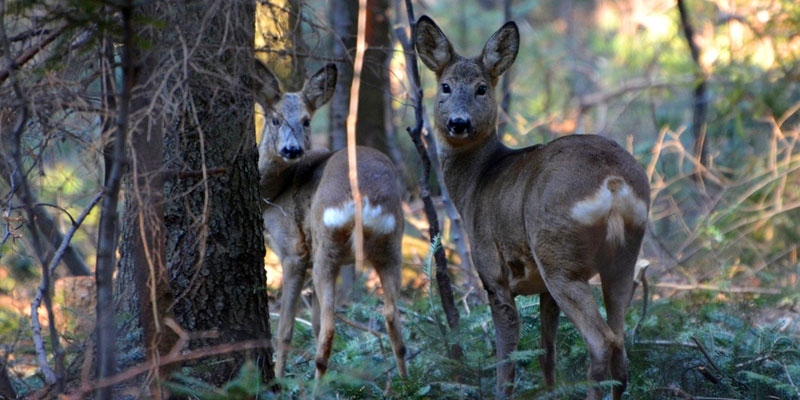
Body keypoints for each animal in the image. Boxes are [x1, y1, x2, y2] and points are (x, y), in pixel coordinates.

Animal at [255, 61, 410, 380]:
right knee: (392, 319)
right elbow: (311, 322)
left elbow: (286, 329)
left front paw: (278, 378)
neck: (275, 193)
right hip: (391, 243)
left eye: (306, 121)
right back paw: (406, 382)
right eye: (275, 120)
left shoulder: (294, 251)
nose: (292, 150)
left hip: (328, 244)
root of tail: (364, 198)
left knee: (329, 327)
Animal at [412, 16, 648, 400]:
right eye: (445, 86)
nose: (458, 123)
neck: (477, 182)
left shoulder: (493, 274)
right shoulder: (542, 290)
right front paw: (550, 390)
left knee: (602, 340)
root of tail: (614, 183)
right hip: (622, 256)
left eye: (481, 88)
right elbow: (545, 351)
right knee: (621, 340)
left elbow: (506, 357)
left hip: (559, 256)